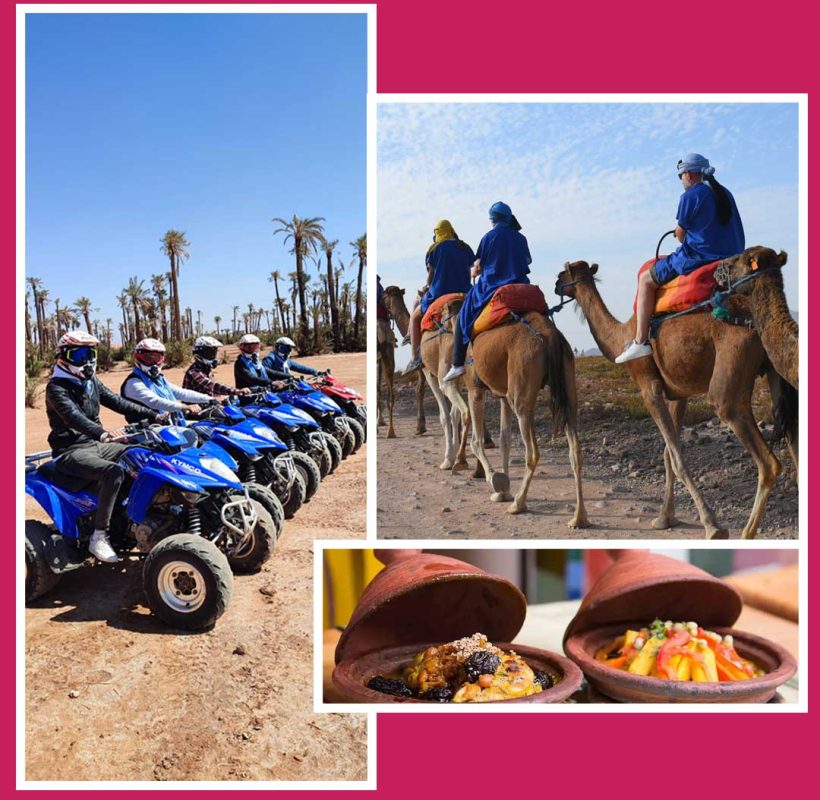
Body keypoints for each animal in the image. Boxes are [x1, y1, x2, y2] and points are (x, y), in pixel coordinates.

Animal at [464, 310, 588, 528]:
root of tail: (550, 336)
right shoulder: (503, 396)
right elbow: (504, 440)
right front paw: (503, 492)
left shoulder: (475, 388)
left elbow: (476, 441)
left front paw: (495, 481)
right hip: (567, 388)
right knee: (575, 450)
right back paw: (578, 517)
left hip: (521, 391)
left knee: (532, 452)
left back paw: (518, 504)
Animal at [552, 260, 796, 540]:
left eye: (563, 273)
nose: (555, 285)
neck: (620, 337)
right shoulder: (677, 394)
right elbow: (669, 454)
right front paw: (664, 518)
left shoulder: (649, 387)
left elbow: (677, 459)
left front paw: (712, 525)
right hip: (777, 370)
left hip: (730, 381)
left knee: (768, 462)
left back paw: (745, 533)